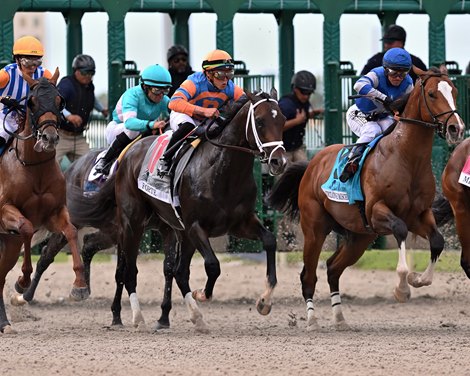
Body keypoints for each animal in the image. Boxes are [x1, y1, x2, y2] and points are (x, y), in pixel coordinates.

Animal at [0, 70, 88, 332]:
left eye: (60, 101)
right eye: (31, 102)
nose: (49, 137)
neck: (33, 167)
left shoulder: (55, 212)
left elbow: (71, 231)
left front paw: (80, 286)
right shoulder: (5, 210)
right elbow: (27, 227)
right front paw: (22, 281)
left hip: (8, 244)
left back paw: (4, 323)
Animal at [67, 90, 286, 332]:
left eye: (283, 120)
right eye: (260, 121)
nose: (279, 161)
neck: (222, 171)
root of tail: (128, 153)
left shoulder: (240, 223)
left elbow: (269, 241)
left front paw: (265, 301)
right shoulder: (194, 226)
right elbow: (213, 265)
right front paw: (202, 293)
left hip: (171, 230)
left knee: (177, 272)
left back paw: (191, 317)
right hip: (132, 224)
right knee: (129, 270)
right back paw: (136, 317)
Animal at [266, 67, 464, 328]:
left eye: (454, 91)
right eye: (432, 94)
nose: (456, 128)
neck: (406, 157)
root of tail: (312, 164)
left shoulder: (419, 215)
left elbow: (438, 241)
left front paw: (417, 279)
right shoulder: (376, 210)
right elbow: (400, 230)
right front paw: (402, 289)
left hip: (359, 236)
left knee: (332, 268)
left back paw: (339, 318)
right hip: (315, 229)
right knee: (308, 274)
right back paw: (312, 319)